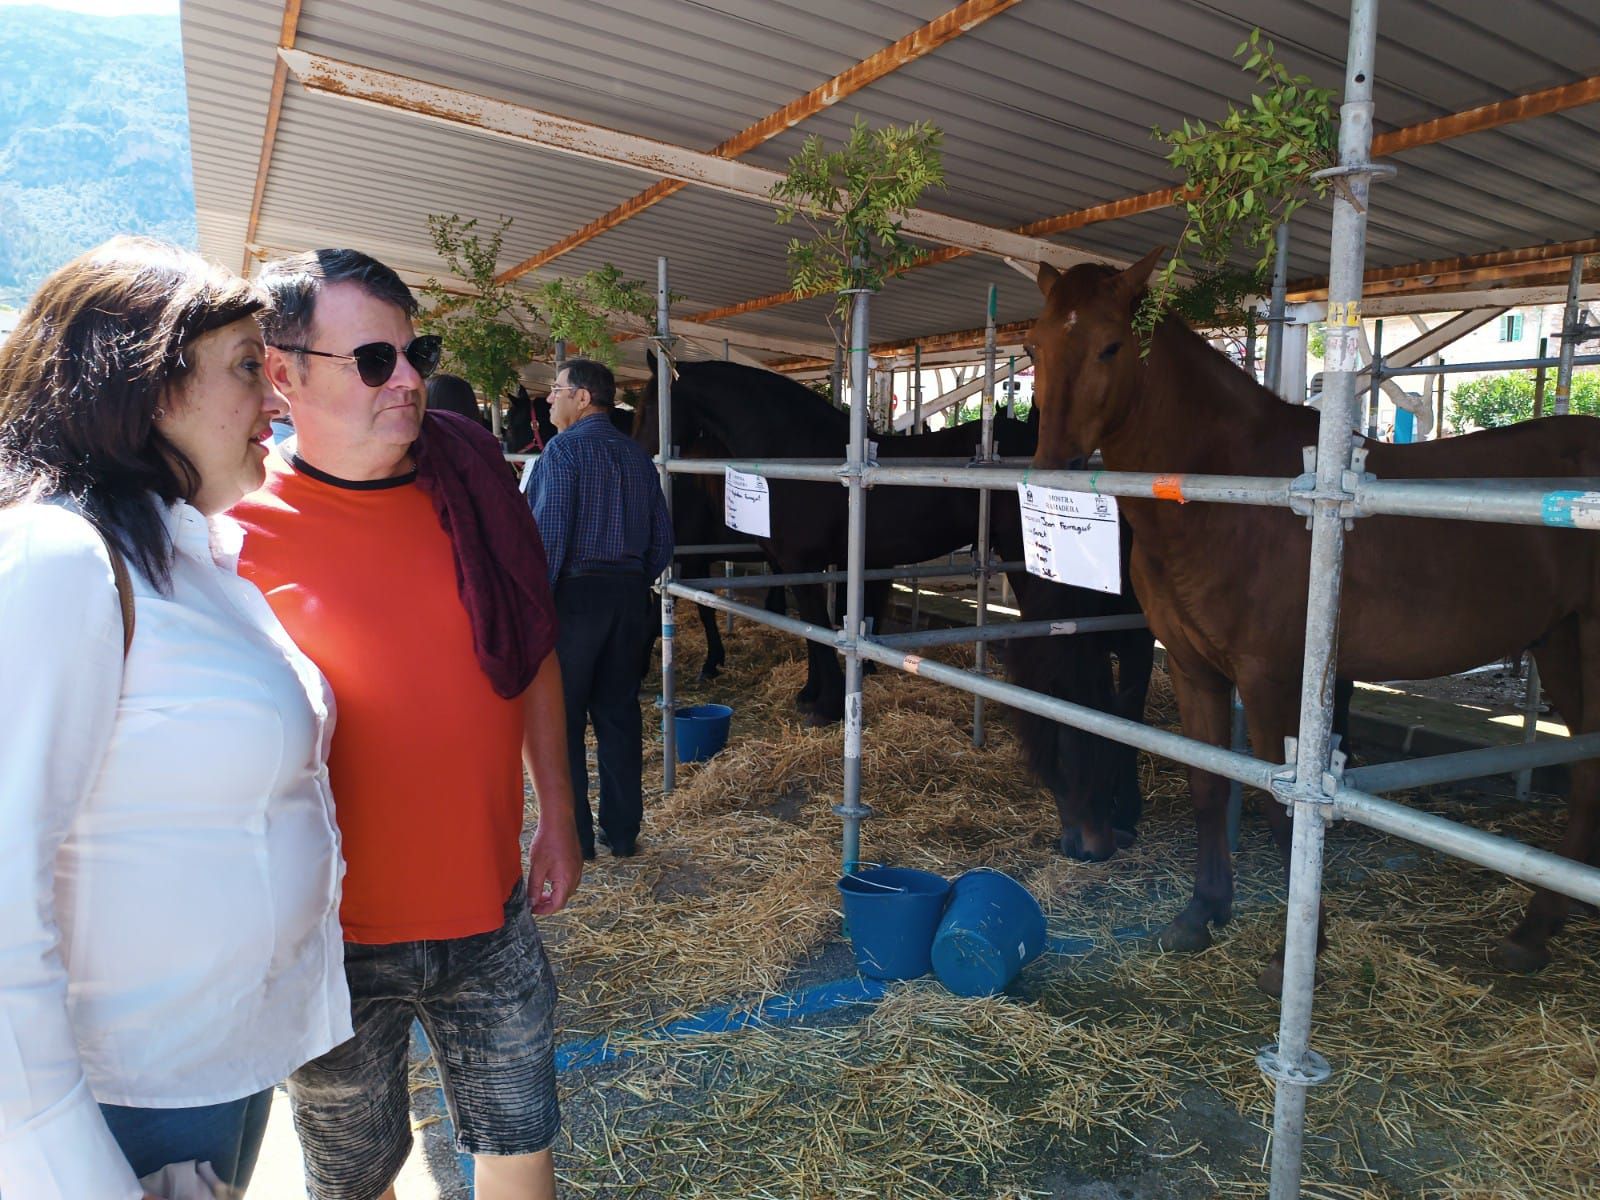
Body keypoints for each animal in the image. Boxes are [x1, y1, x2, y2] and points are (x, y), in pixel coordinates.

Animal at [1030, 249, 1600, 992]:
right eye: (1034, 346)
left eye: (1110, 345)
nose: (1053, 470)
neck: (1231, 493)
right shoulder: (1192, 668)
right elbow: (1208, 785)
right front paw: (1200, 915)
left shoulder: (1273, 679)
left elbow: (1283, 808)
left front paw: (1294, 953)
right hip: (1561, 643)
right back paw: (1538, 928)